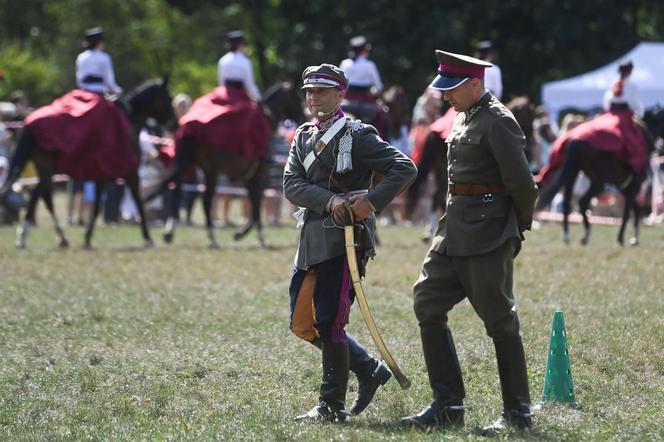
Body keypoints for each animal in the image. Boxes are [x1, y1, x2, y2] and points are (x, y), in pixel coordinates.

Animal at [0, 79, 175, 249]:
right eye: (169, 98)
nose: (173, 124)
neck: (129, 122)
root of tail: (30, 123)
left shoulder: (100, 177)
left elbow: (97, 206)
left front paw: (87, 237)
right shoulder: (131, 174)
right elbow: (137, 202)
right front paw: (147, 238)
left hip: (44, 168)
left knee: (45, 197)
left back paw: (61, 238)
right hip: (48, 169)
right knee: (38, 196)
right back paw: (24, 236)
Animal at [145, 80, 304, 247]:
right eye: (297, 97)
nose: (303, 116)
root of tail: (192, 128)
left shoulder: (247, 176)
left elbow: (253, 202)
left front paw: (247, 233)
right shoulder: (258, 173)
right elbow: (256, 204)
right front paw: (251, 235)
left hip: (187, 165)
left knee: (176, 193)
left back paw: (169, 231)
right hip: (211, 171)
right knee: (206, 200)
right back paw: (211, 236)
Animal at [536, 106, 664, 245]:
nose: (660, 147)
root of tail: (575, 139)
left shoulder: (624, 187)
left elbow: (635, 208)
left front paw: (634, 237)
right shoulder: (633, 185)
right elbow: (628, 211)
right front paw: (623, 238)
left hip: (573, 174)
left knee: (568, 203)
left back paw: (568, 235)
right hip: (599, 182)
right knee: (582, 201)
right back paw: (586, 234)